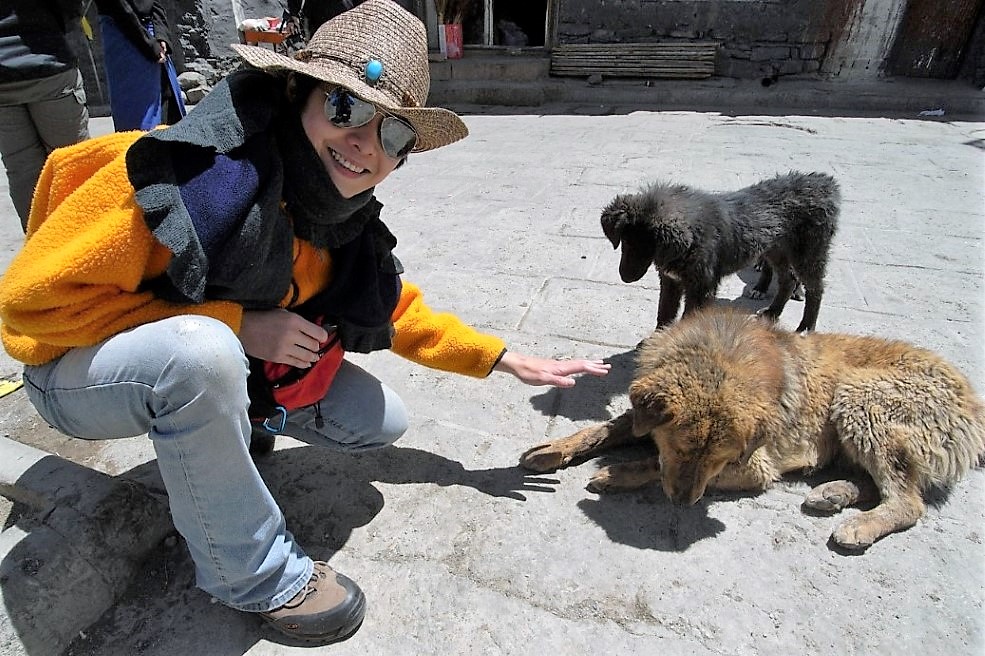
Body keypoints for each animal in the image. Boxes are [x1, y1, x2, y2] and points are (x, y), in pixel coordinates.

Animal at [520, 310, 980, 552]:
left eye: (718, 460)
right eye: (682, 449)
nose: (683, 503)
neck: (719, 356)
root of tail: (974, 401)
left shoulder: (757, 466)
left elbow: (651, 463)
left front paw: (619, 473)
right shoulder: (644, 417)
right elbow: (607, 428)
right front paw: (554, 448)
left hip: (861, 400)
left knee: (907, 500)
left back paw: (859, 525)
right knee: (881, 483)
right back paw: (835, 494)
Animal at [600, 172, 836, 334]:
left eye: (649, 249)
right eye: (625, 243)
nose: (625, 277)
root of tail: (825, 183)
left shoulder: (702, 287)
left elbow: (688, 317)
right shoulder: (671, 280)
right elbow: (665, 311)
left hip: (809, 252)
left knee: (816, 288)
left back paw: (806, 328)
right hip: (776, 250)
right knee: (788, 279)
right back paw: (772, 313)